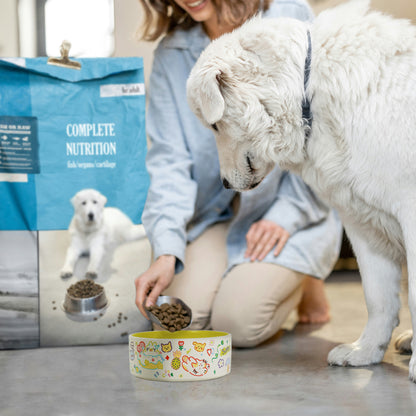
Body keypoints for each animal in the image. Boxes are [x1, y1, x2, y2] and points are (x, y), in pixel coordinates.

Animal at [187, 0, 416, 382]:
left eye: (215, 125)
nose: (224, 184)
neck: (310, 93)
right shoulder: (363, 222)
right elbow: (378, 297)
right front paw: (365, 351)